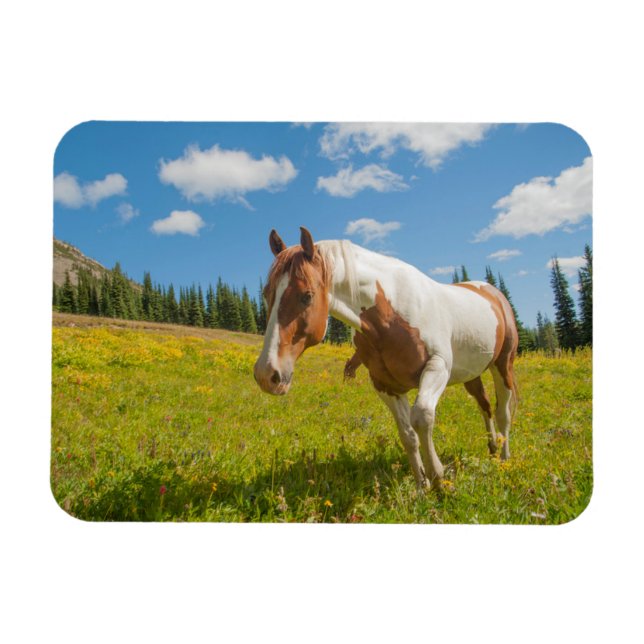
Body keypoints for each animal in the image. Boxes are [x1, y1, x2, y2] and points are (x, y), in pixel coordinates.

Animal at [253, 227, 518, 490]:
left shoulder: (437, 367)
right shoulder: (385, 385)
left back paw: (505, 459)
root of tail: (494, 294)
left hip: (502, 366)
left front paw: (438, 476)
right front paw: (422, 485)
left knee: (502, 412)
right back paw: (492, 449)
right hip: (471, 374)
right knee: (485, 406)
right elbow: (407, 434)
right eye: (266, 293)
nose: (267, 374)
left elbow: (422, 417)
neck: (389, 316)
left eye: (307, 296)